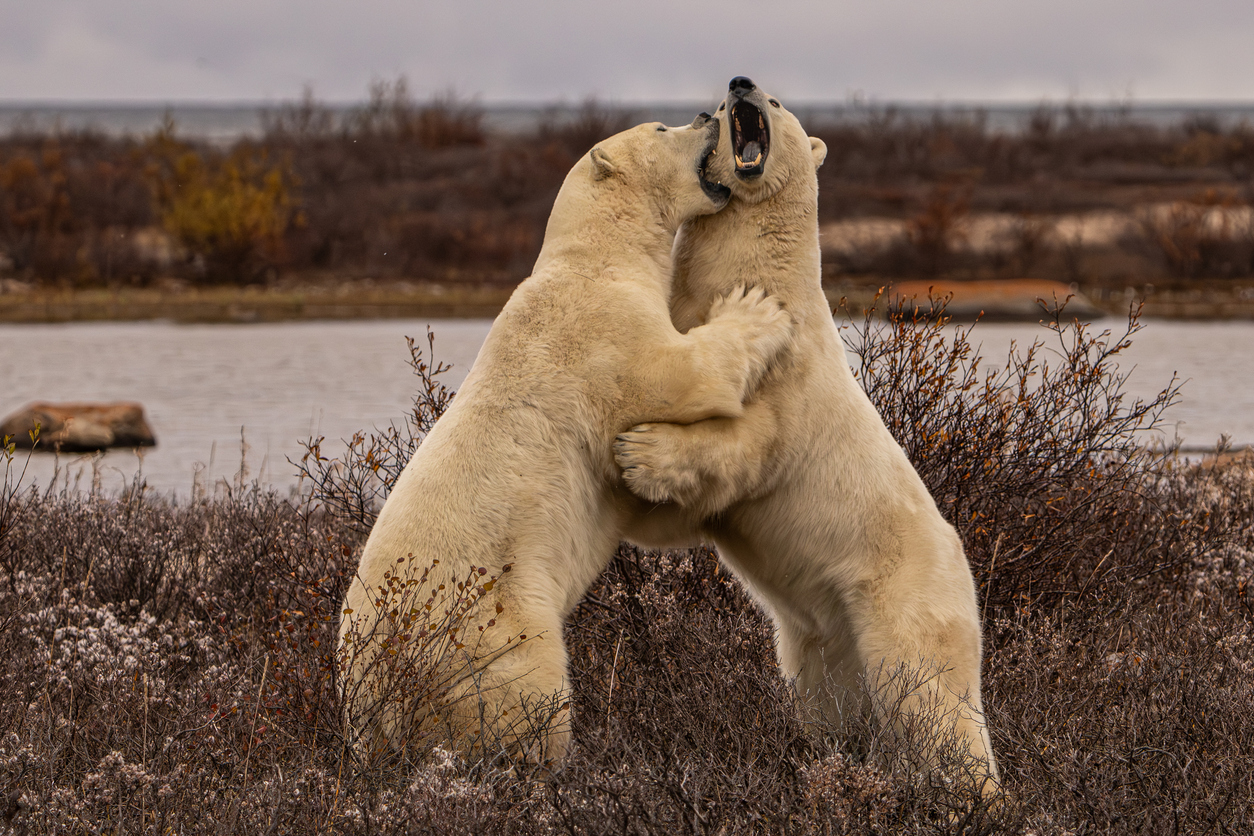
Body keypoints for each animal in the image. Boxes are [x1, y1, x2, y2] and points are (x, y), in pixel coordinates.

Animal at [338, 113, 795, 765]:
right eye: (662, 128)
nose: (706, 117)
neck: (594, 259)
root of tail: (378, 685)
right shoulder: (604, 335)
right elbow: (686, 374)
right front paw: (757, 307)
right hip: (490, 633)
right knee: (530, 694)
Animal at [614, 78, 999, 793]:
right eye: (727, 98)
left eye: (775, 99)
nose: (740, 82)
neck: (769, 281)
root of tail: (962, 557)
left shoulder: (789, 378)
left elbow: (745, 446)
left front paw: (642, 452)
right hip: (824, 634)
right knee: (832, 704)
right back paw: (836, 759)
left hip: (902, 592)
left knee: (931, 697)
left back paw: (971, 791)